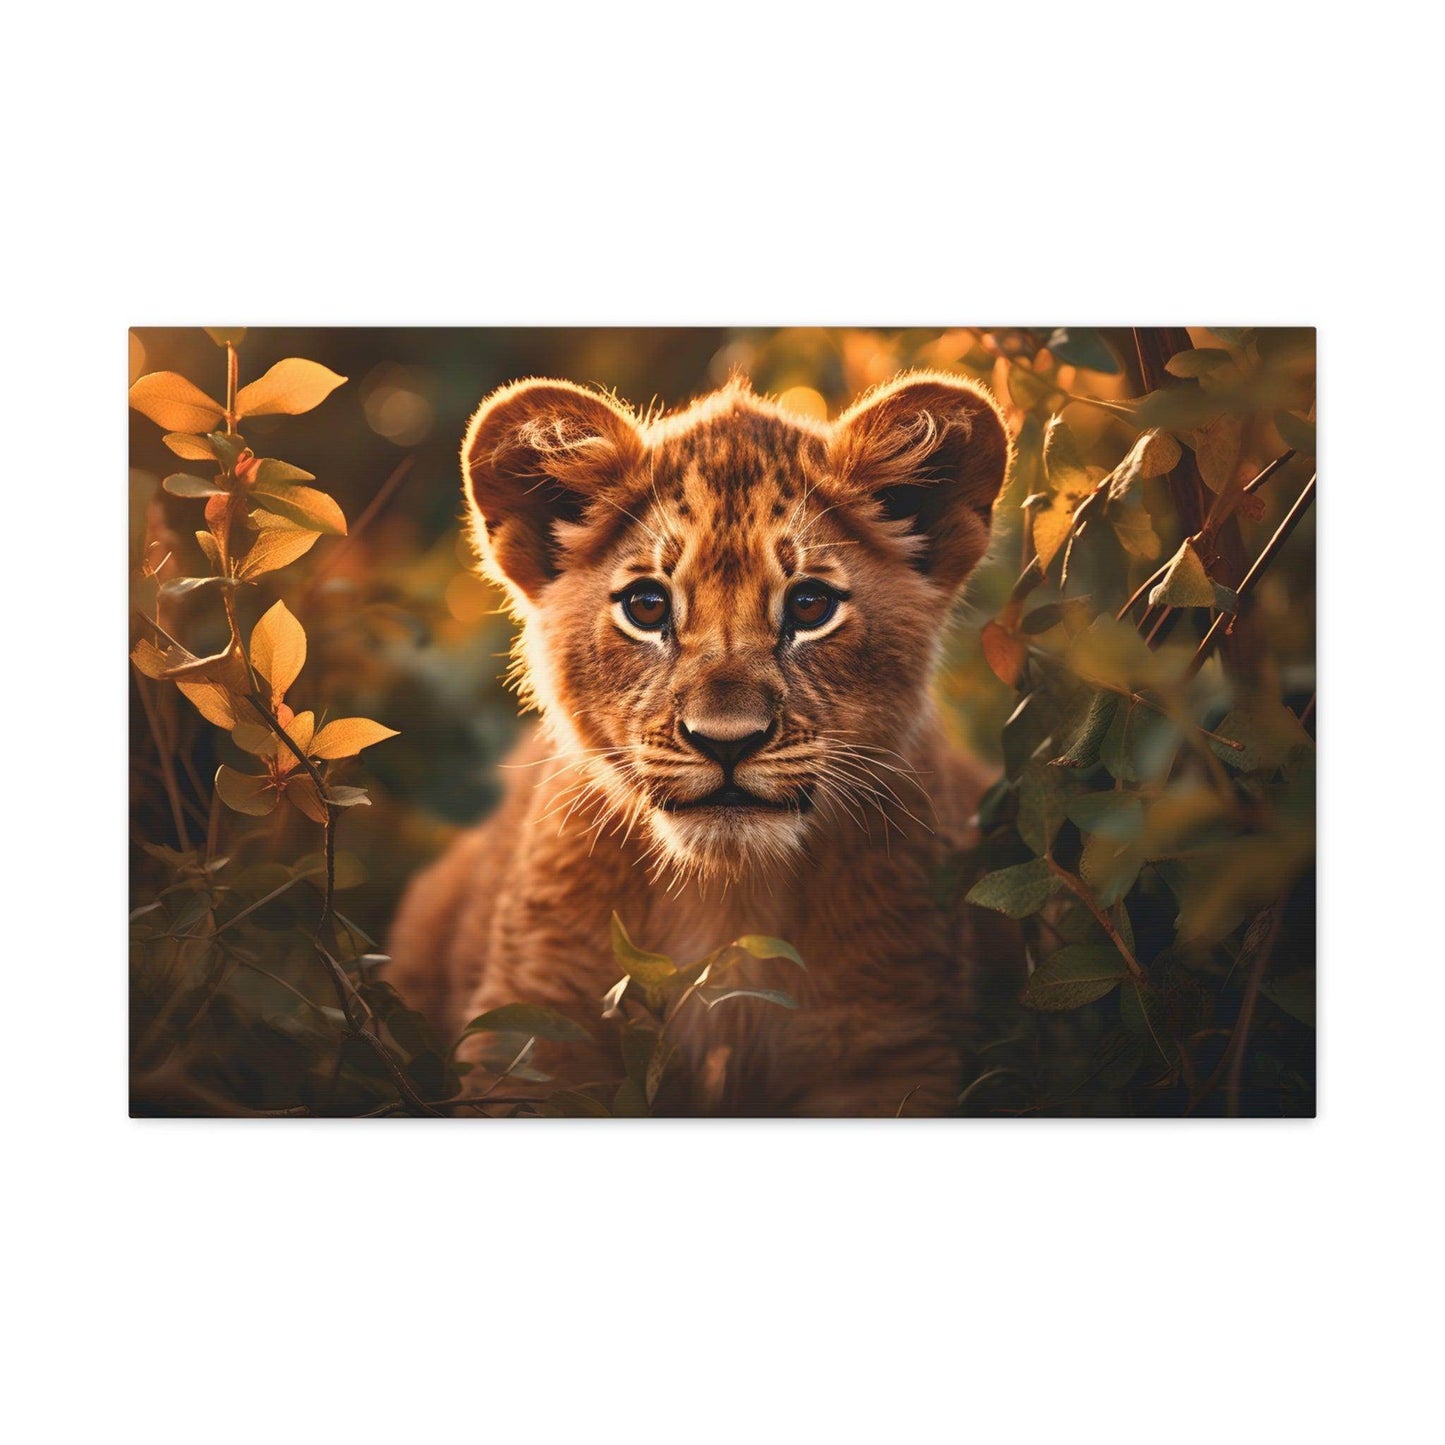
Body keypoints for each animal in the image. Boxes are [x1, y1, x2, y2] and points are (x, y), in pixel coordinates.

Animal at [387, 369, 1018, 1115]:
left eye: (809, 606)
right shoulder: (533, 1033)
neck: (728, 899)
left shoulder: (888, 1045)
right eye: (647, 606)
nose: (726, 742)